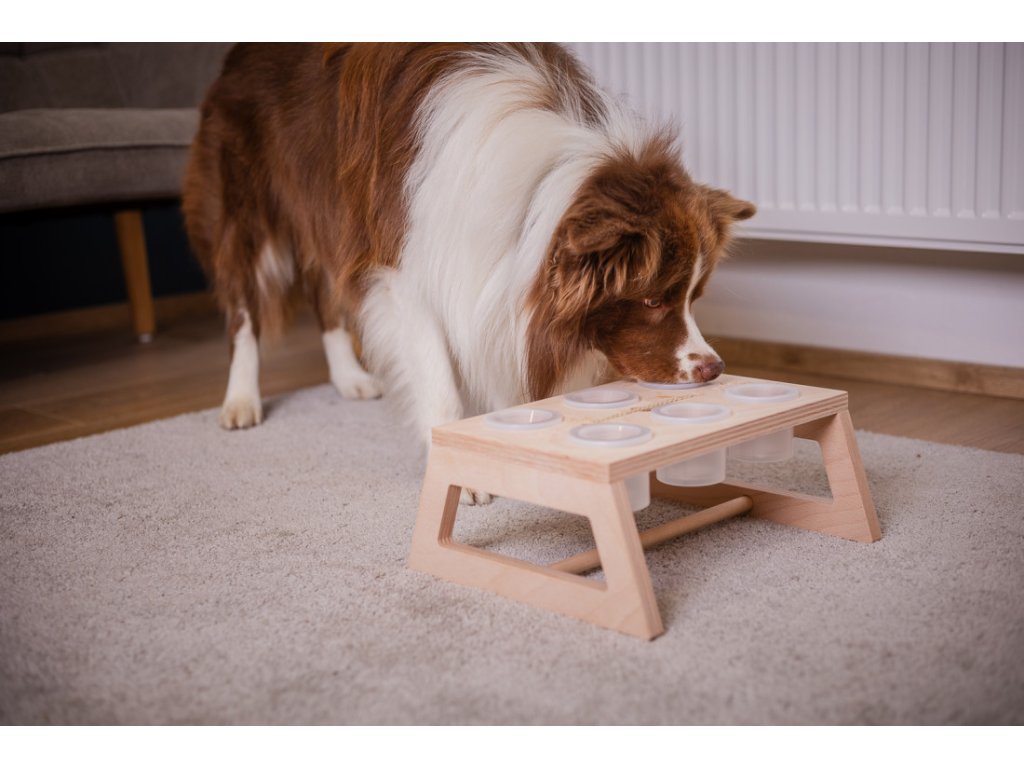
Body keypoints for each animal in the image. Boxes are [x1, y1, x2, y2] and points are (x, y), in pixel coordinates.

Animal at [183, 43, 755, 501]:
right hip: (245, 211)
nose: (714, 369)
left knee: (326, 297)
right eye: (654, 300)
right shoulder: (406, 277)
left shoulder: (491, 273)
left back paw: (349, 378)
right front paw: (465, 473)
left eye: (694, 297)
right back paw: (240, 400)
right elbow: (439, 381)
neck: (538, 194)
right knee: (243, 312)